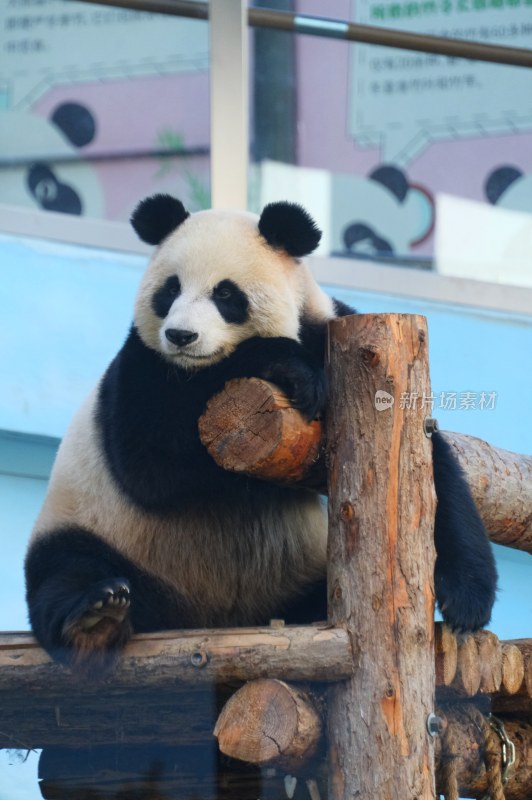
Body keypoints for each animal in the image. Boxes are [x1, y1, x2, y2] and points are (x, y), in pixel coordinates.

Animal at [23, 197, 498, 672]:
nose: (181, 335)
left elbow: (427, 466)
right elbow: (148, 460)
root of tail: (207, 617)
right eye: (170, 290)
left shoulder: (337, 337)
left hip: (297, 571)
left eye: (225, 294)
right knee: (65, 568)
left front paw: (467, 598)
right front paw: (291, 369)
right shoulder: (143, 365)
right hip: (99, 526)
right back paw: (94, 621)